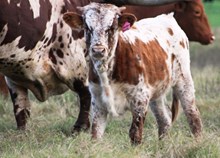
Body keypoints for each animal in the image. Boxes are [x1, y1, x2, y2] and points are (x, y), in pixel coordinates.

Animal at [62, 1, 202, 144]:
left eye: (112, 27)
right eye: (87, 27)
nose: (98, 50)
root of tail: (167, 17)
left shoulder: (140, 99)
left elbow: (135, 133)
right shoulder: (98, 102)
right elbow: (96, 133)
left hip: (184, 80)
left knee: (193, 114)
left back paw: (198, 141)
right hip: (157, 91)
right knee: (164, 119)